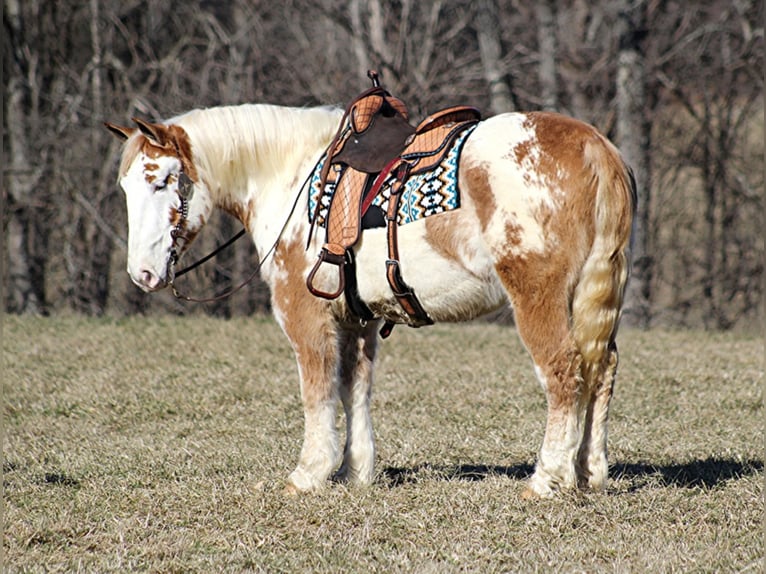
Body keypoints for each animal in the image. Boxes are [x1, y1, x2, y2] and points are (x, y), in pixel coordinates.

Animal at [106, 101, 636, 498]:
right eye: (127, 186)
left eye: (161, 180)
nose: (142, 274)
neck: (290, 176)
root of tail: (594, 146)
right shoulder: (357, 321)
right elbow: (353, 388)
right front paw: (354, 471)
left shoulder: (306, 316)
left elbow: (317, 390)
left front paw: (309, 473)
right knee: (600, 370)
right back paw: (589, 472)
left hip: (537, 297)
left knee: (563, 371)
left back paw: (547, 478)